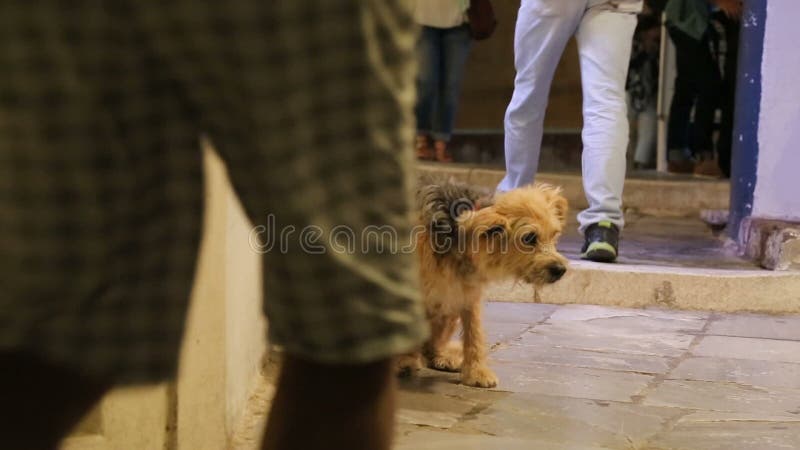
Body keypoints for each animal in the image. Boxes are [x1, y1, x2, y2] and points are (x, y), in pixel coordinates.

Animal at [400, 178, 568, 388]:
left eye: (554, 234)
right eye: (529, 238)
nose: (560, 270)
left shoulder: (468, 293)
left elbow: (474, 332)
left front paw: (476, 371)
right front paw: (405, 360)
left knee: (432, 348)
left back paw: (443, 357)